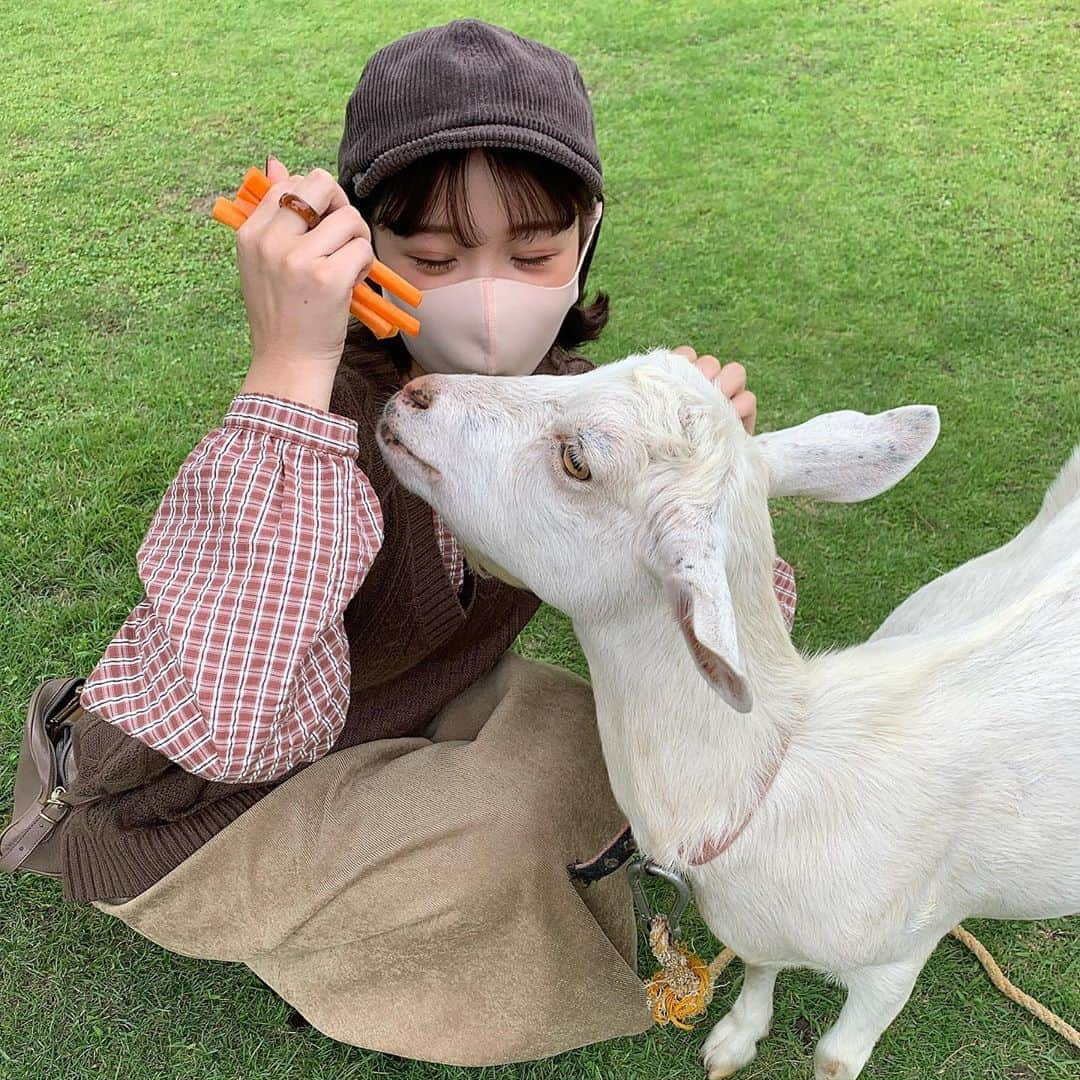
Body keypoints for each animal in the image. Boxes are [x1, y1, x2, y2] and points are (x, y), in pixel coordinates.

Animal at [378, 349, 1080, 1075]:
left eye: (578, 461)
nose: (416, 392)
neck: (769, 781)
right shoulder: (760, 930)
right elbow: (758, 966)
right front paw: (737, 1038)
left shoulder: (902, 954)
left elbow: (836, 1056)